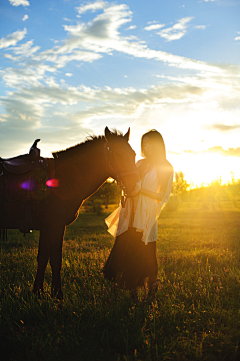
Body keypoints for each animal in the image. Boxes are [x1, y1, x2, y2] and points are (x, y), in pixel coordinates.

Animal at [0, 127, 140, 298]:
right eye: (118, 154)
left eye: (133, 154)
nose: (135, 186)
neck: (63, 179)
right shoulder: (56, 226)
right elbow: (55, 260)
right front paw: (57, 295)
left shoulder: (47, 227)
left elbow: (43, 258)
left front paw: (38, 292)